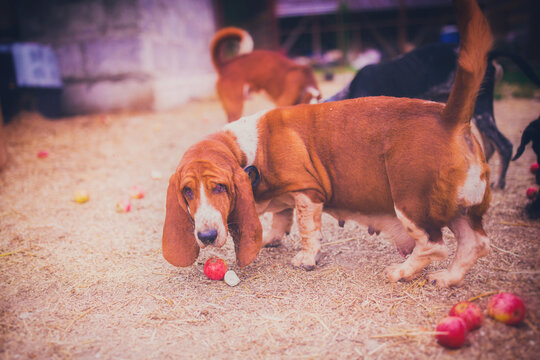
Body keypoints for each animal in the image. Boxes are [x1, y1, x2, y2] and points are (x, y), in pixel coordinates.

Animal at [163, 0, 494, 286]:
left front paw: (306, 259)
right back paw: (448, 278)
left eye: (220, 187)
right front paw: (270, 238)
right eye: (187, 191)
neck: (246, 150)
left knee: (434, 245)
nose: (206, 237)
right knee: (474, 244)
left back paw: (400, 271)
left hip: (411, 203)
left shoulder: (308, 193)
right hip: (461, 209)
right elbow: (280, 218)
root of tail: (448, 116)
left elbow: (307, 229)